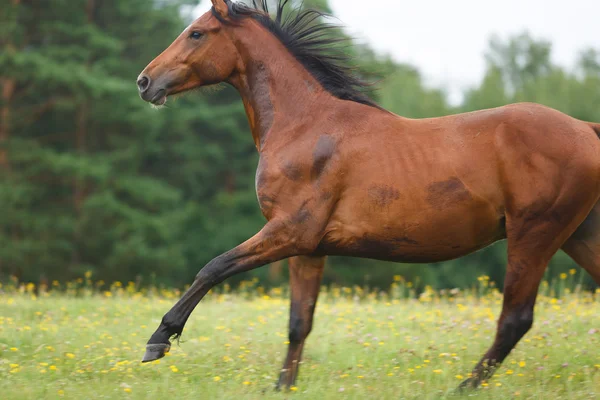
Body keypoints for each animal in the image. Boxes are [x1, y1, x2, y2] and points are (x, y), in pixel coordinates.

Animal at [135, 0, 600, 390]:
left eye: (197, 33)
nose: (144, 81)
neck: (305, 125)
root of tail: (586, 128)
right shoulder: (310, 249)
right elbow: (298, 322)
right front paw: (283, 387)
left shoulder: (289, 232)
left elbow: (212, 268)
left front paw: (159, 339)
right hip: (578, 236)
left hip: (534, 235)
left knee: (514, 319)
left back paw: (463, 388)